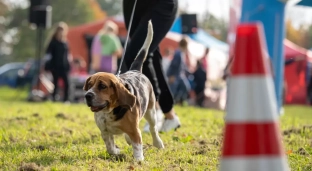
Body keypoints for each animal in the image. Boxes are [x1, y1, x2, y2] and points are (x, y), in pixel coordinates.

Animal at [84, 20, 165, 161]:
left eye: (102, 86)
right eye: (89, 85)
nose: (87, 95)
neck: (109, 111)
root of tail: (135, 70)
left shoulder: (134, 131)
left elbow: (137, 146)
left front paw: (138, 160)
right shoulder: (105, 132)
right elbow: (110, 147)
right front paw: (117, 152)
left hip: (151, 111)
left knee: (153, 129)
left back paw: (158, 143)